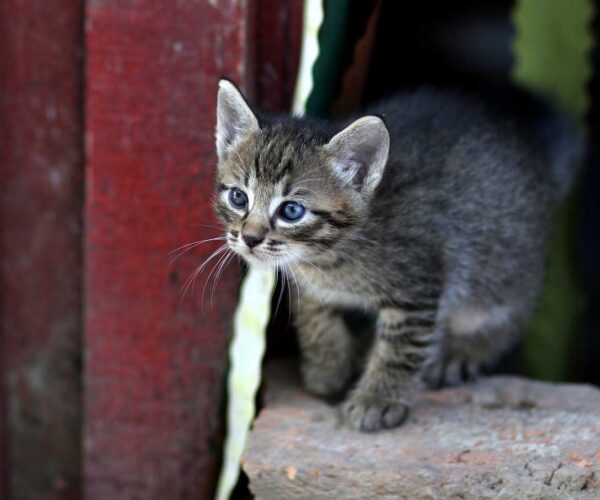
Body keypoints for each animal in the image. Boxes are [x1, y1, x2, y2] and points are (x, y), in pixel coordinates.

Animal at [213, 80, 580, 432]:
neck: (328, 257)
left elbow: (398, 350)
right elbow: (316, 321)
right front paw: (328, 371)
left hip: (501, 268)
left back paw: (460, 351)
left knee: (506, 314)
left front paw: (377, 399)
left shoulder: (418, 288)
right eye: (238, 197)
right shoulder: (310, 285)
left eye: (291, 211)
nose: (249, 238)